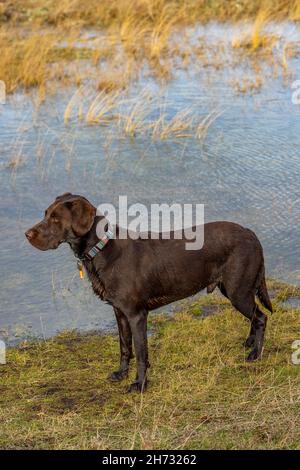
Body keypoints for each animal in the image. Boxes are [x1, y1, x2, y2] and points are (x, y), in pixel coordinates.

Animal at [25, 194, 274, 392]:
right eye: (45, 214)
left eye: (56, 219)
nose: (27, 234)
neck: (102, 248)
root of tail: (251, 234)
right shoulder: (120, 313)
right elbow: (125, 348)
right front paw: (121, 374)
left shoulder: (137, 315)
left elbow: (141, 353)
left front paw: (140, 384)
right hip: (234, 290)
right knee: (254, 317)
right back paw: (249, 343)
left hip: (238, 291)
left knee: (261, 317)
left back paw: (255, 353)